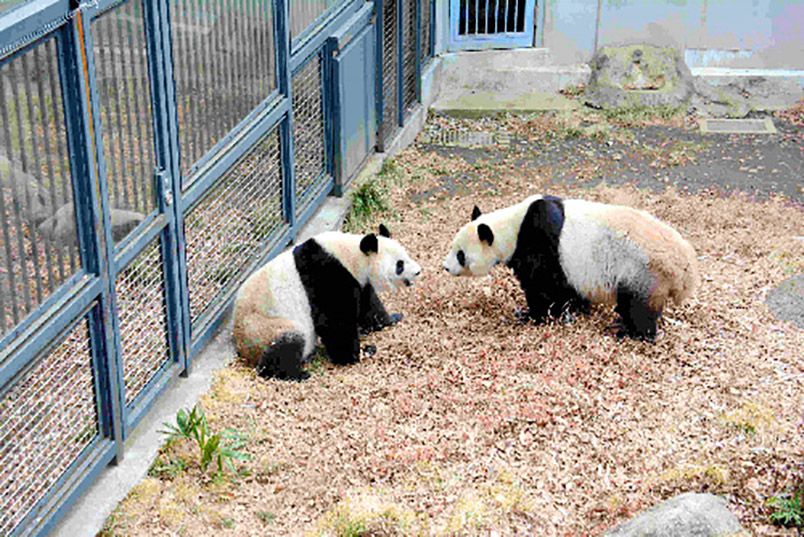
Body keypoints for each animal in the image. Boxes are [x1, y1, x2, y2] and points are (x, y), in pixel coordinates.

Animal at [232, 224, 420, 378]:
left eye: (406, 256)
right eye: (399, 265)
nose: (417, 271)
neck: (352, 255)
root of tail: (244, 351)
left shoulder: (359, 281)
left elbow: (370, 306)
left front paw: (392, 319)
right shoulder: (326, 275)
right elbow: (335, 321)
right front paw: (352, 356)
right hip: (265, 327)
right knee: (287, 344)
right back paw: (295, 373)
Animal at [442, 196, 700, 340]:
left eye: (460, 254)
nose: (445, 267)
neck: (512, 226)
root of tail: (685, 267)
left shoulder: (540, 242)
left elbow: (543, 286)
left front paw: (531, 315)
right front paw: (576, 309)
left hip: (643, 270)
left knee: (638, 306)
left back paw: (630, 333)